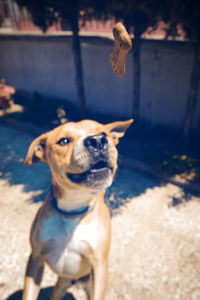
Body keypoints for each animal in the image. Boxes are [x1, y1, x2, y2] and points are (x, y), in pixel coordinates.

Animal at [23, 118, 133, 298]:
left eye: (104, 133)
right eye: (64, 141)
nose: (97, 140)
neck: (73, 210)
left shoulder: (99, 266)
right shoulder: (36, 259)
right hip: (60, 285)